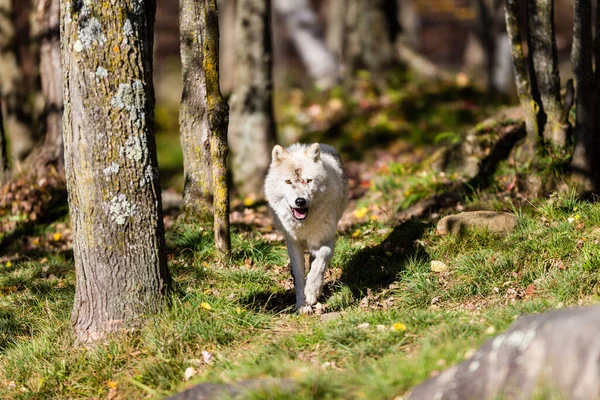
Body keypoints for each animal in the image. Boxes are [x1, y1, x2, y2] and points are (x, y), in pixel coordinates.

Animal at [264, 143, 350, 312]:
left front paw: (311, 291)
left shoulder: (326, 238)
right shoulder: (293, 243)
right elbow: (299, 274)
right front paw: (302, 306)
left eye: (309, 181)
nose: (300, 201)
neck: (303, 224)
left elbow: (321, 259)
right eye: (288, 182)